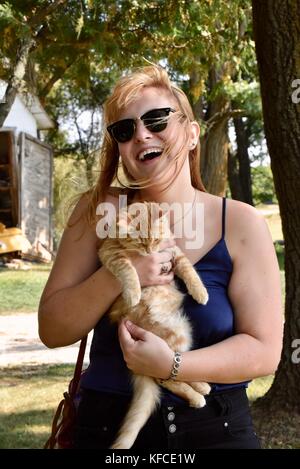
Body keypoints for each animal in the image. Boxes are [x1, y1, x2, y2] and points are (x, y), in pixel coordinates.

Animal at [99, 200, 211, 446]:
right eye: (141, 242)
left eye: (157, 240)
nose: (150, 252)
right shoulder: (109, 251)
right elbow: (127, 269)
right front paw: (133, 292)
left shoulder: (174, 252)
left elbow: (189, 271)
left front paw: (200, 292)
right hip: (176, 335)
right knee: (167, 376)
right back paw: (197, 395)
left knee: (176, 368)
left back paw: (201, 386)